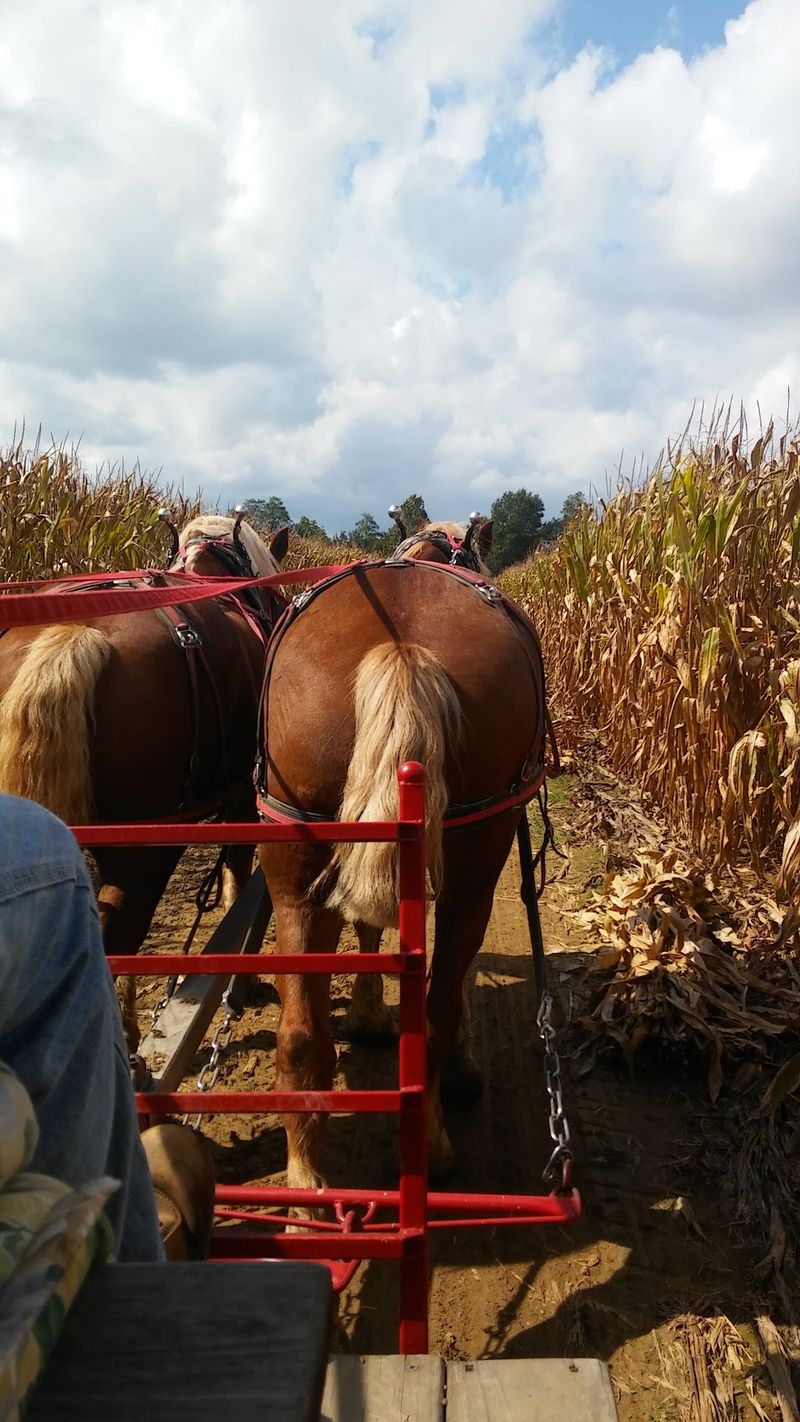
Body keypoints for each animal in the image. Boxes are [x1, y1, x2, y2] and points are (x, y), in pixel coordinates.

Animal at [257, 515, 552, 1196]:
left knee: (300, 1029)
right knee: (439, 1008)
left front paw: (367, 1018)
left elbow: (367, 923)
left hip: (291, 853)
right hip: (480, 855)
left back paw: (305, 1176)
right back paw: (436, 1147)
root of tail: (403, 649)